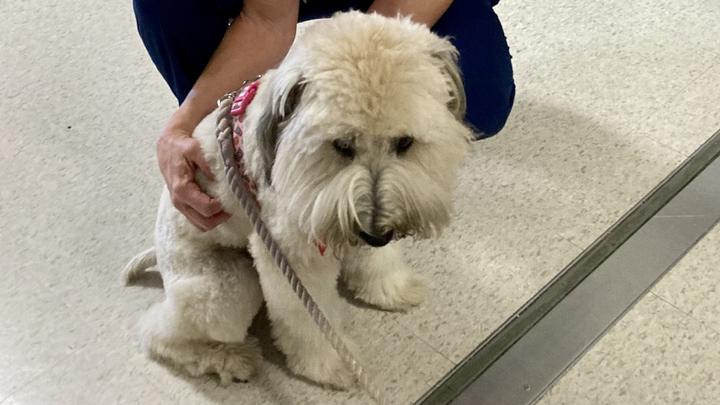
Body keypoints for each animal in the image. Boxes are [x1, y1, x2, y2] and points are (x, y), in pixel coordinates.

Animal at [124, 11, 472, 388]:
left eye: (405, 142)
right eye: (342, 145)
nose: (378, 233)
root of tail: (160, 251)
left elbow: (375, 261)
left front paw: (390, 288)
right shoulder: (291, 256)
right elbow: (308, 319)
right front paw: (330, 364)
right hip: (227, 289)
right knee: (157, 331)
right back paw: (230, 359)